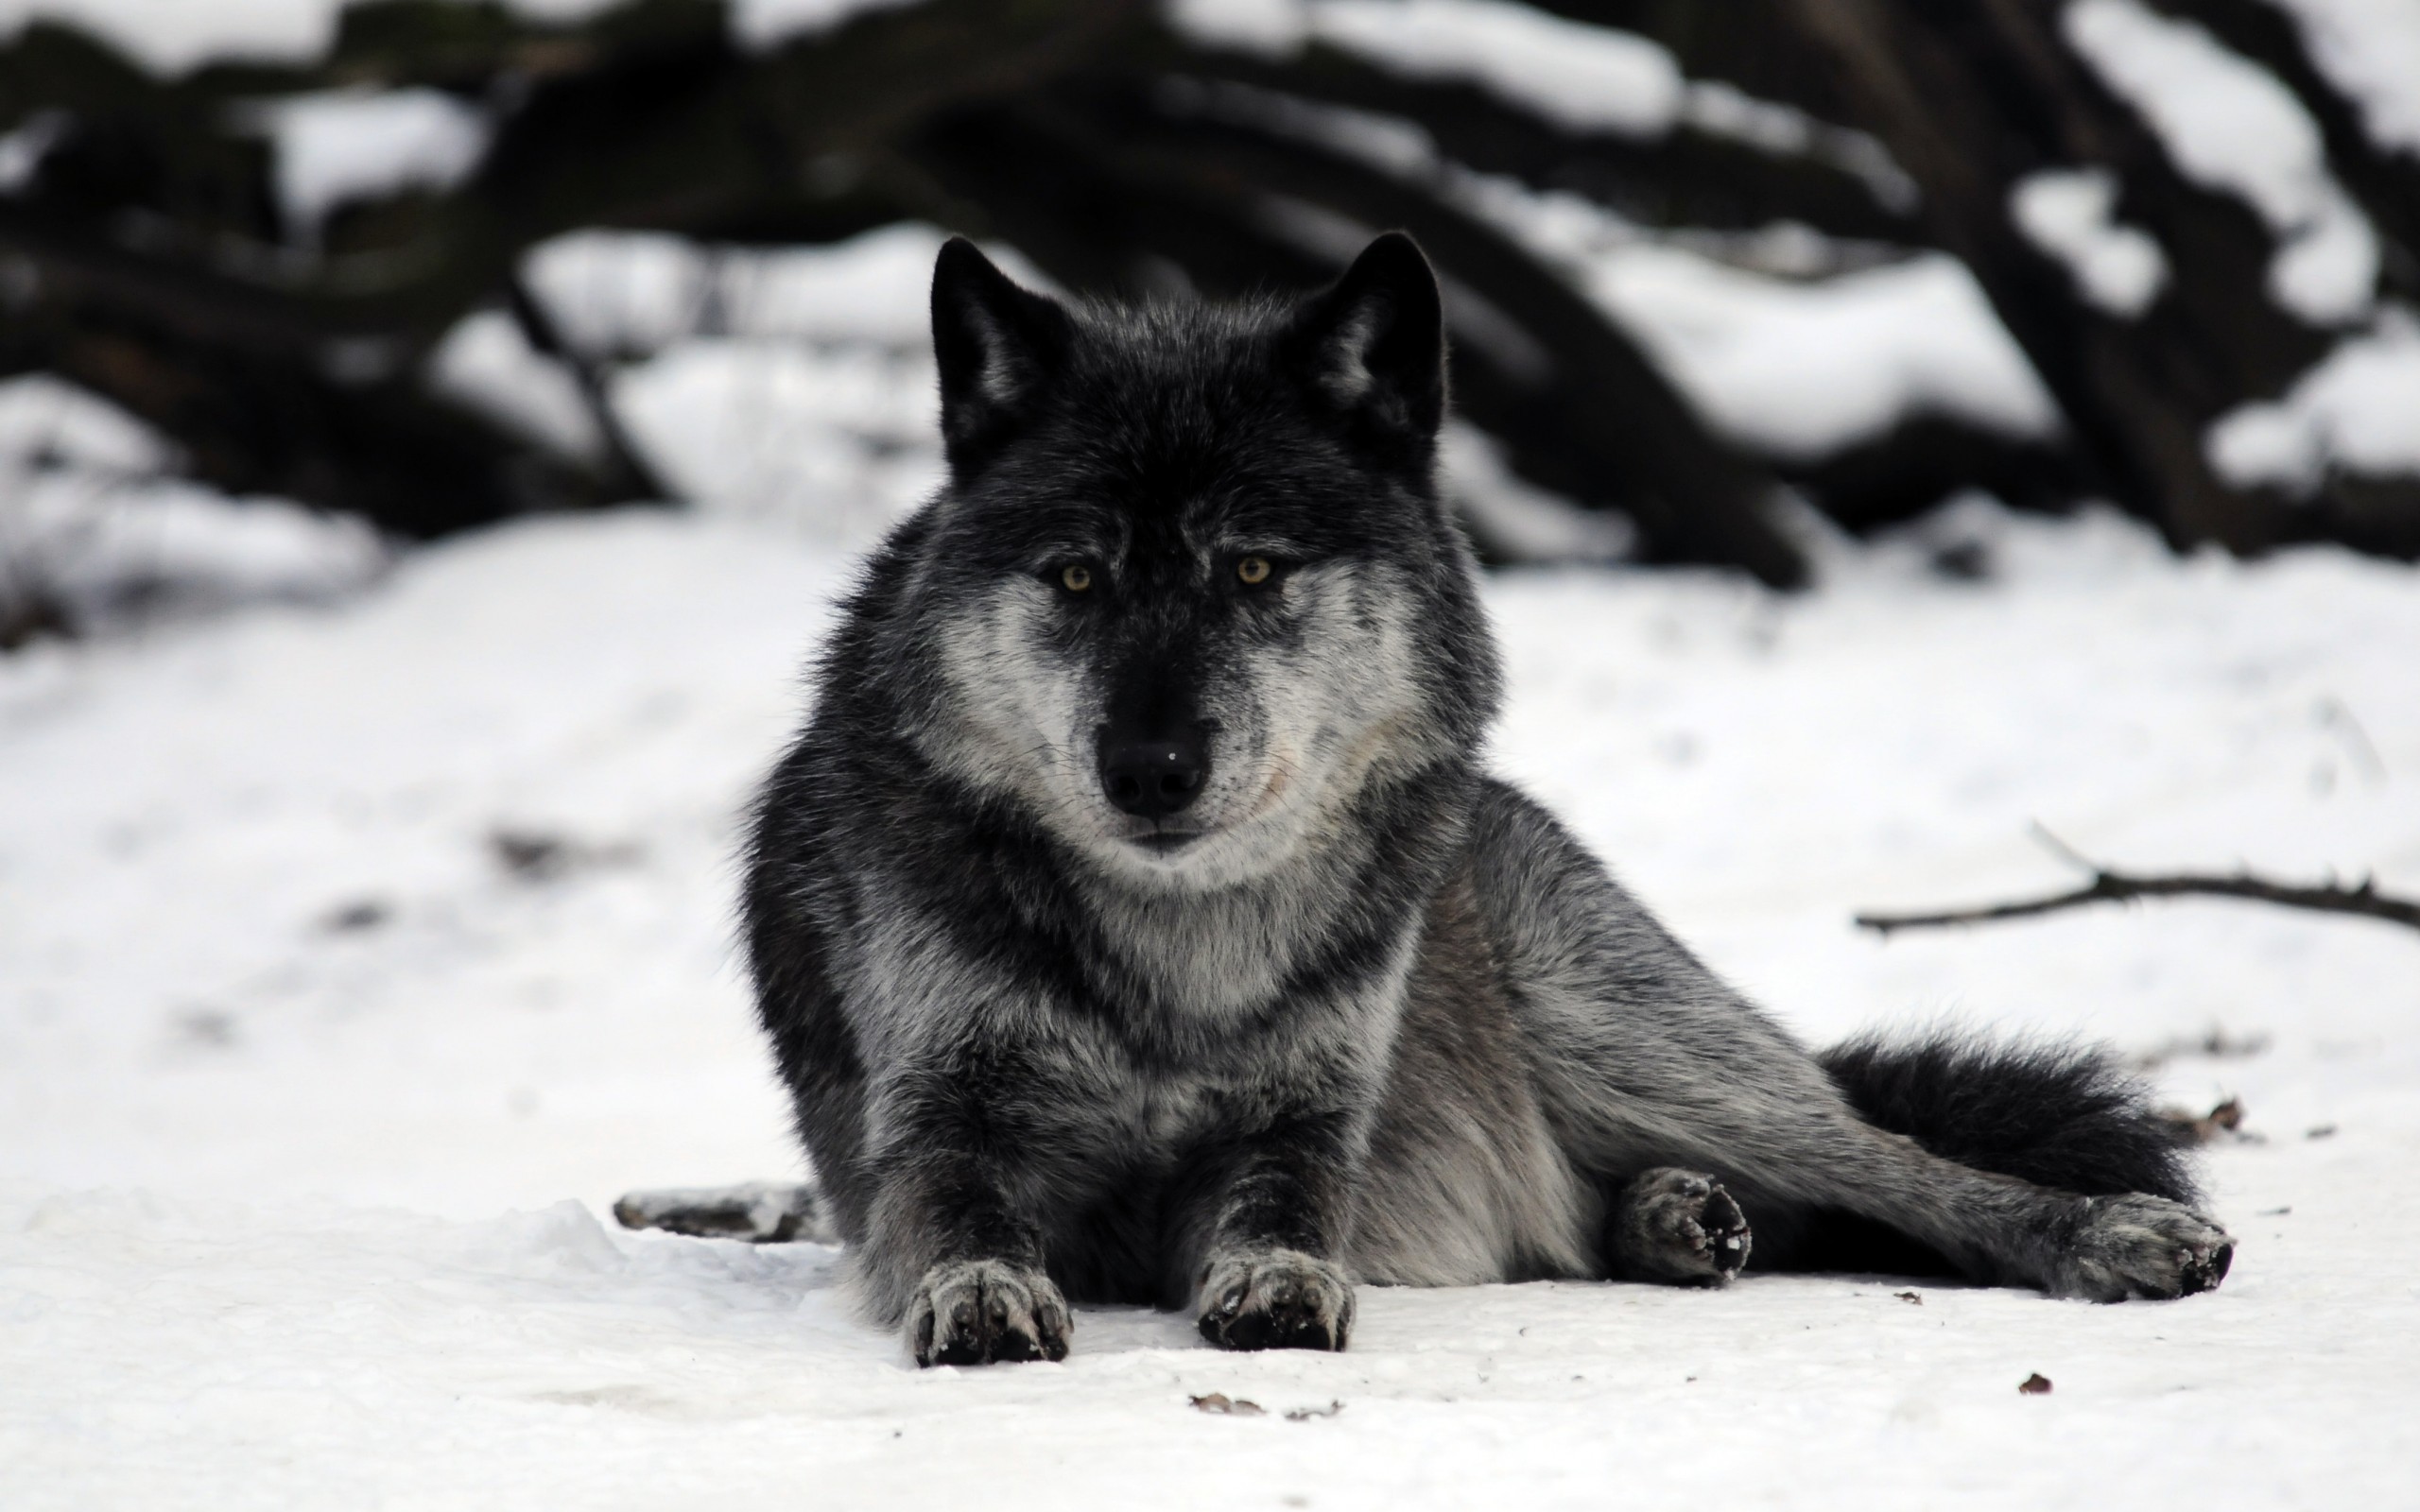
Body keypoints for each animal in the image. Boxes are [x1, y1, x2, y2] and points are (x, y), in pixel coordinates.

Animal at [731, 230, 2226, 1364]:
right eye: (1078, 576)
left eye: (1254, 570)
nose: (1149, 770)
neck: (1183, 957)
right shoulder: (934, 1126)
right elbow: (963, 1216)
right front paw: (982, 1291)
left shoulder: (1305, 1123)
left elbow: (1284, 1208)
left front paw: (1279, 1282)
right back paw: (1679, 1221)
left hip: (1627, 1033)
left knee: (1893, 1163)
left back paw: (2110, 1231)